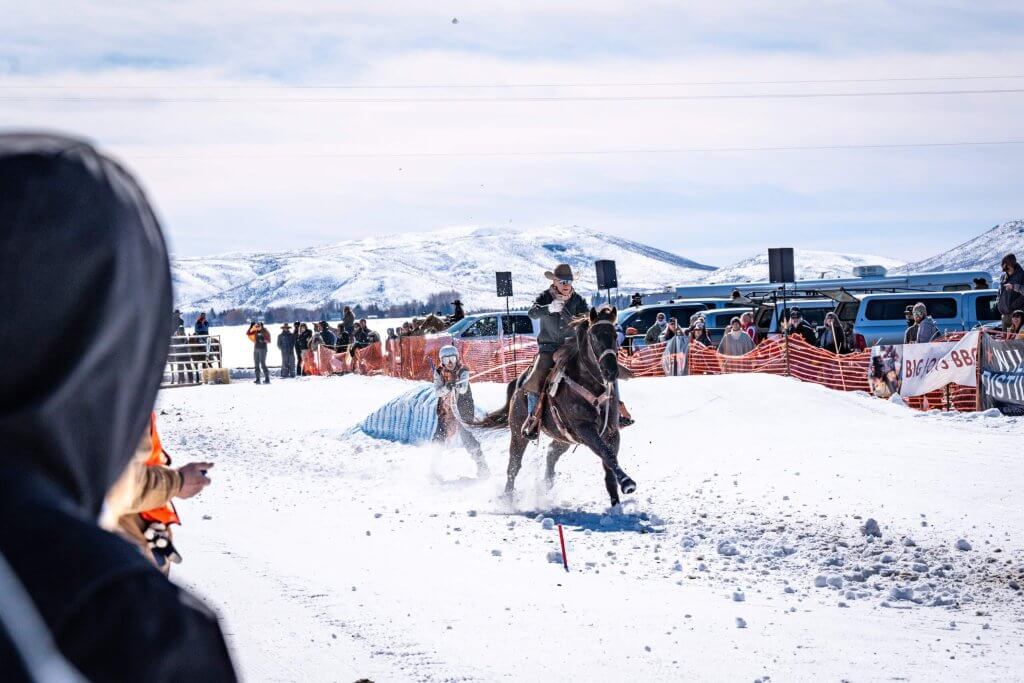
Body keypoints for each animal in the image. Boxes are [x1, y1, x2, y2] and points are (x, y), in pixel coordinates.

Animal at [475, 307, 634, 505]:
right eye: (594, 336)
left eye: (614, 335)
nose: (611, 371)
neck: (590, 385)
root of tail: (518, 383)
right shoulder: (585, 429)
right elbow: (607, 455)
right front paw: (627, 482)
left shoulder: (611, 432)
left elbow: (609, 462)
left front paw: (616, 503)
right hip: (518, 432)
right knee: (514, 465)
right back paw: (508, 499)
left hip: (562, 438)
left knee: (551, 453)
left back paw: (547, 485)